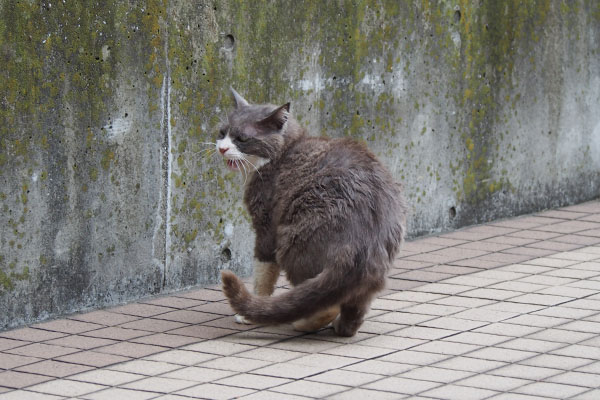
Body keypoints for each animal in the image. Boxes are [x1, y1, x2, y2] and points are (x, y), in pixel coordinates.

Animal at [217, 88, 408, 338]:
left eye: (242, 138)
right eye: (222, 132)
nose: (222, 148)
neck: (285, 149)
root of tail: (360, 246)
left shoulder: (266, 224)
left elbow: (263, 273)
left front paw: (247, 314)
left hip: (291, 242)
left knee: (324, 303)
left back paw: (302, 323)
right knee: (353, 311)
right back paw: (339, 326)